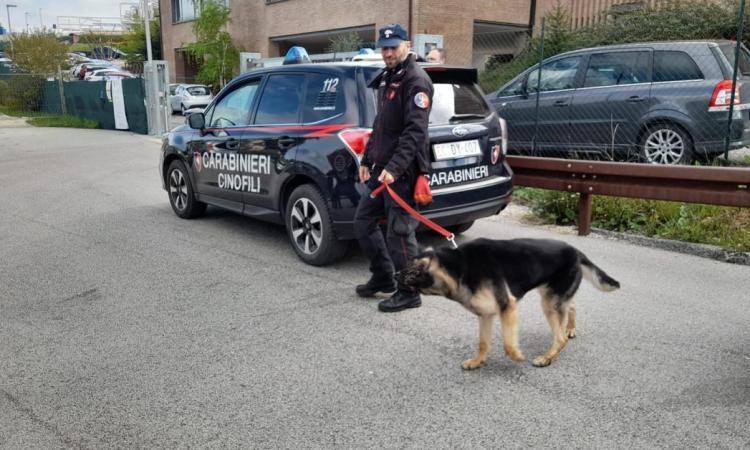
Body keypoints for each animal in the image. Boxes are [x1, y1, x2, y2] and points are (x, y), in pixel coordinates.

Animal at [396, 237, 620, 368]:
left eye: (413, 271)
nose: (395, 274)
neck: (460, 268)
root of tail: (575, 250)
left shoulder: (507, 307)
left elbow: (507, 344)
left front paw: (517, 356)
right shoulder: (486, 314)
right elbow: (483, 343)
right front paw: (478, 361)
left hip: (549, 302)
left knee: (560, 337)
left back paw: (547, 357)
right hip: (551, 295)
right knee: (571, 306)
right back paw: (570, 328)